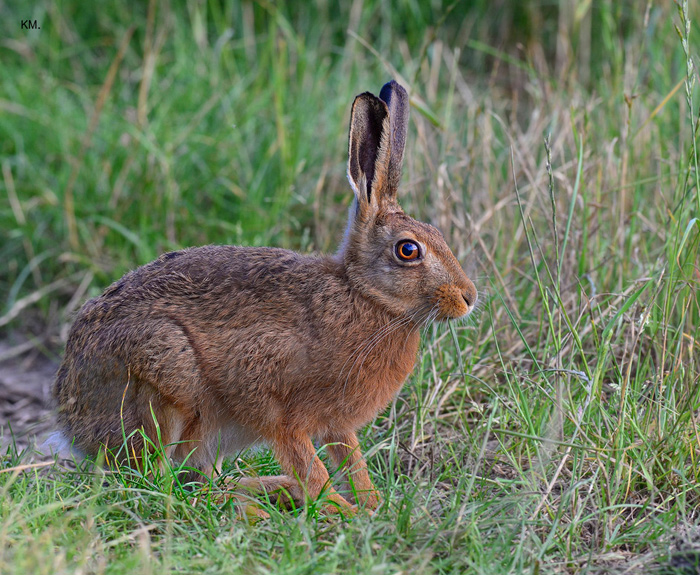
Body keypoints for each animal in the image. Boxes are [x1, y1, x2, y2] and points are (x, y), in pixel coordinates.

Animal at [53, 80, 477, 515]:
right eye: (408, 250)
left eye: (438, 234)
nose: (468, 297)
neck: (364, 296)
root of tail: (69, 411)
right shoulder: (275, 402)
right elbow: (310, 466)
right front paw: (341, 512)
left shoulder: (337, 425)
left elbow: (352, 461)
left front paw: (371, 506)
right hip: (165, 379)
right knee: (158, 482)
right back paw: (255, 506)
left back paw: (272, 492)